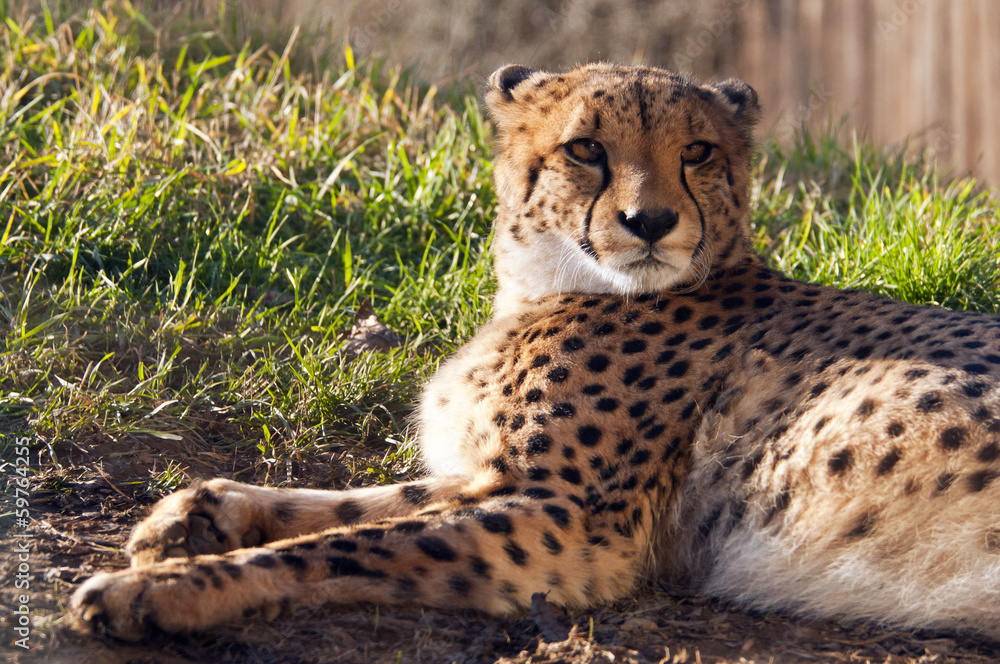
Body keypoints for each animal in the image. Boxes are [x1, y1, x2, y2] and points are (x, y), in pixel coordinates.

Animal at [71, 63, 1000, 642]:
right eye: (586, 148)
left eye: (697, 152)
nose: (651, 222)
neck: (544, 285)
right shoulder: (500, 476)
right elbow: (365, 503)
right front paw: (196, 515)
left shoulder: (571, 522)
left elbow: (347, 543)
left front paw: (159, 591)